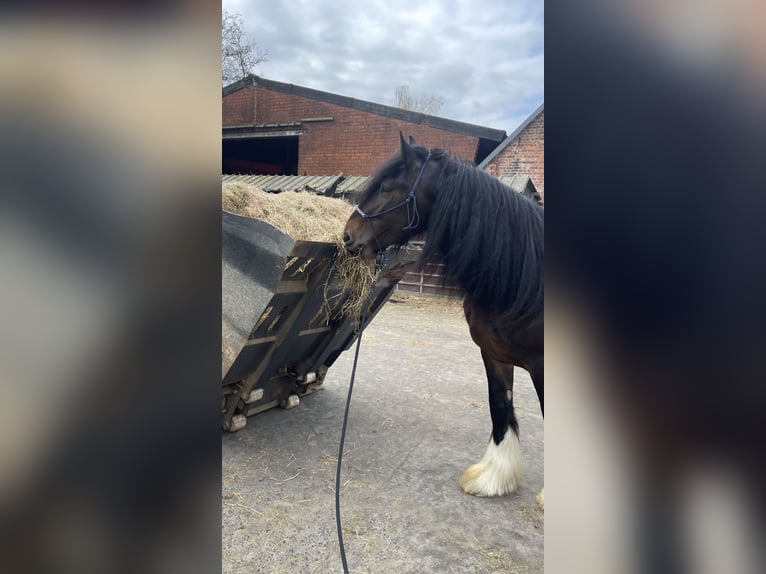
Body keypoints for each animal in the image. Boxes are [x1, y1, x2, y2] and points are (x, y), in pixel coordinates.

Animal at [343, 134, 544, 506]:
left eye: (388, 187)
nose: (348, 236)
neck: (526, 278)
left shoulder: (542, 366)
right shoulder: (493, 354)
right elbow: (499, 407)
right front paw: (494, 477)